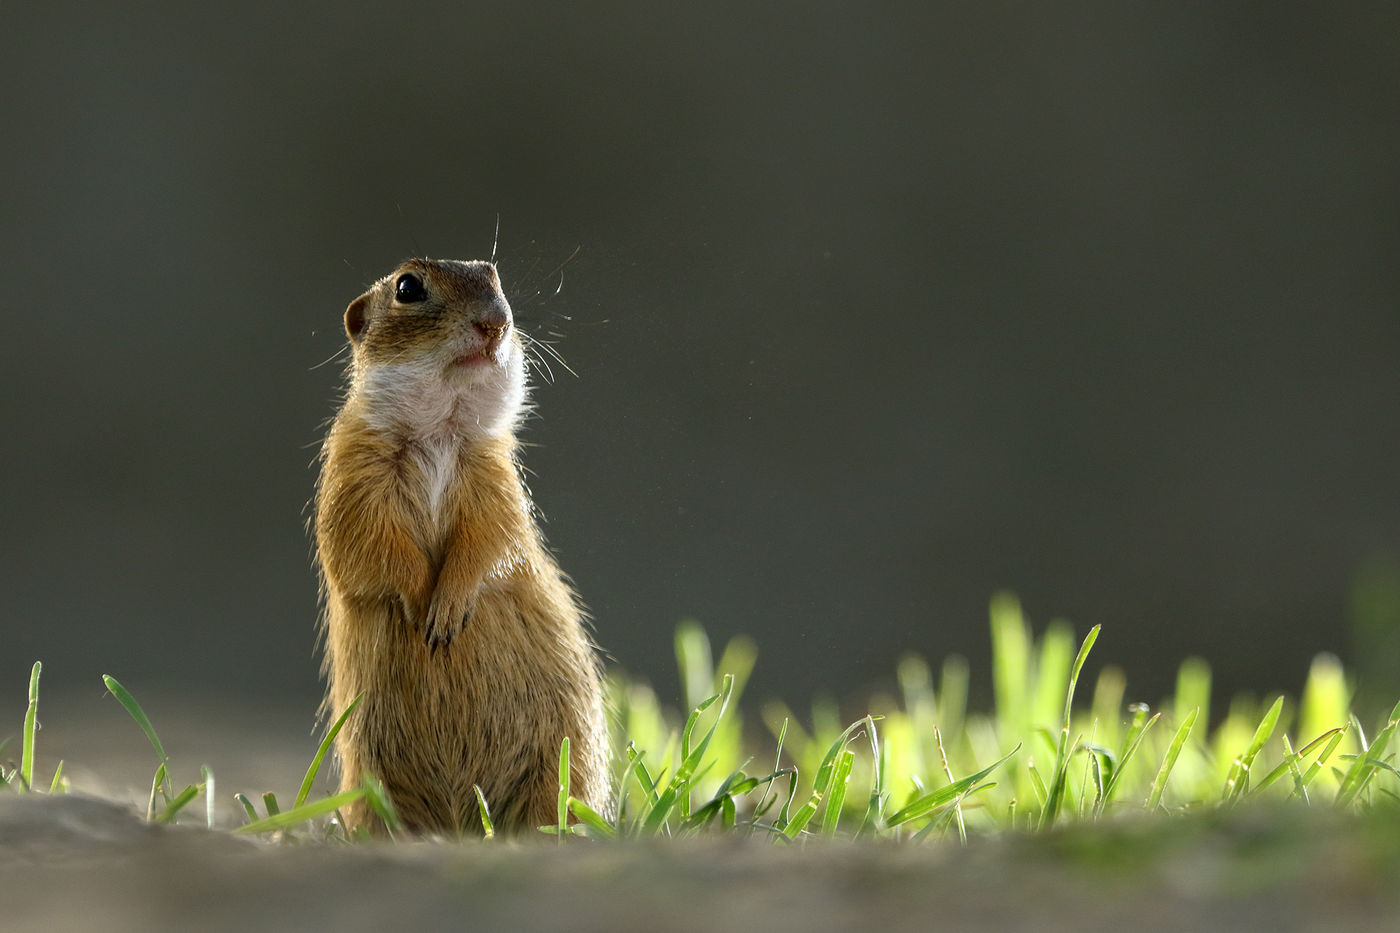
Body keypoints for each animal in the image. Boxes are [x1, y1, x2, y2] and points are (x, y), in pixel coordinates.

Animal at [315, 257, 610, 829]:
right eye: (408, 286)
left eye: (493, 276)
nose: (496, 323)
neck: (440, 430)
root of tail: (459, 821)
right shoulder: (353, 479)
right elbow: (373, 548)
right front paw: (423, 611)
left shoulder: (495, 481)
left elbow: (492, 544)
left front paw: (447, 612)